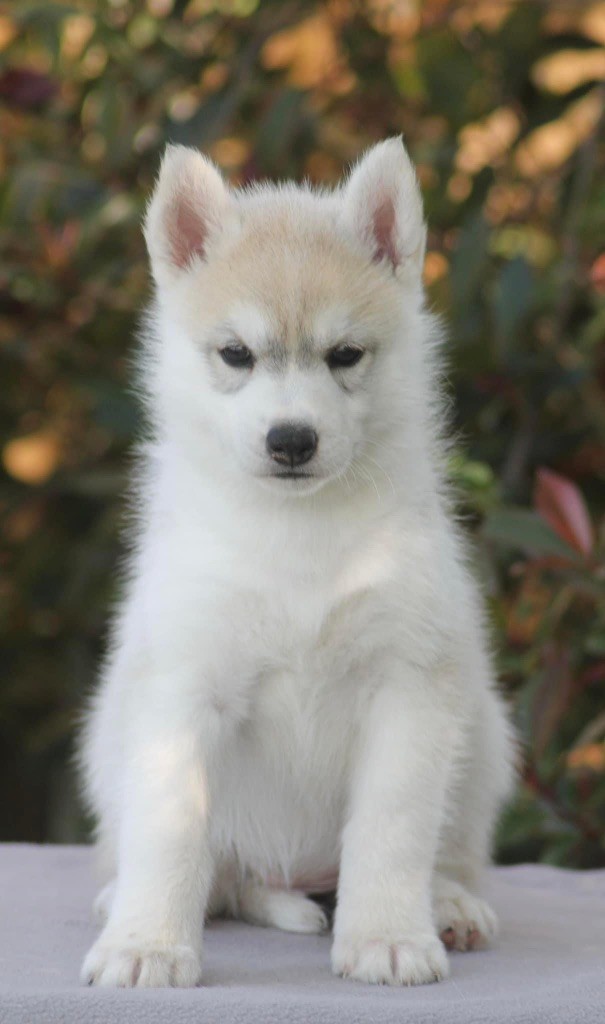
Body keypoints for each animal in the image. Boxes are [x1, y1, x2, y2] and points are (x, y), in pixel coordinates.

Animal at [79, 140, 515, 987]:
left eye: (344, 355)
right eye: (236, 355)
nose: (291, 440)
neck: (297, 538)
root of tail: (289, 875)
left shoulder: (407, 689)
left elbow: (391, 830)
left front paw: (386, 937)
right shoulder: (182, 690)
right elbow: (169, 832)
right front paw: (148, 946)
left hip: (480, 734)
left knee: (448, 850)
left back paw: (448, 905)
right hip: (109, 743)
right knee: (206, 873)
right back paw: (122, 900)